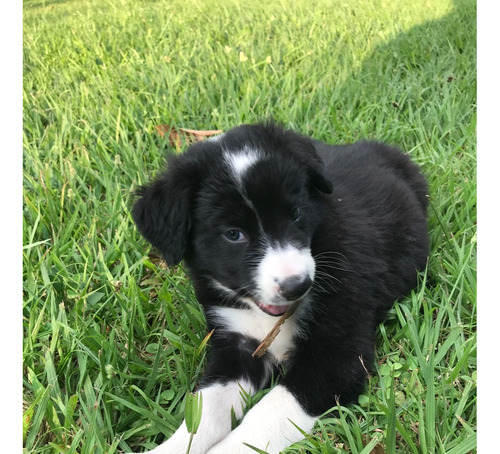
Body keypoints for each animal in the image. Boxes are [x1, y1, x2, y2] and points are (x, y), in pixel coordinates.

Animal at [130, 121, 430, 454]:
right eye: (233, 234)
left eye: (296, 213)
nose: (298, 286)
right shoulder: (236, 343)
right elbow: (204, 409)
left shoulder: (336, 353)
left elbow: (269, 413)